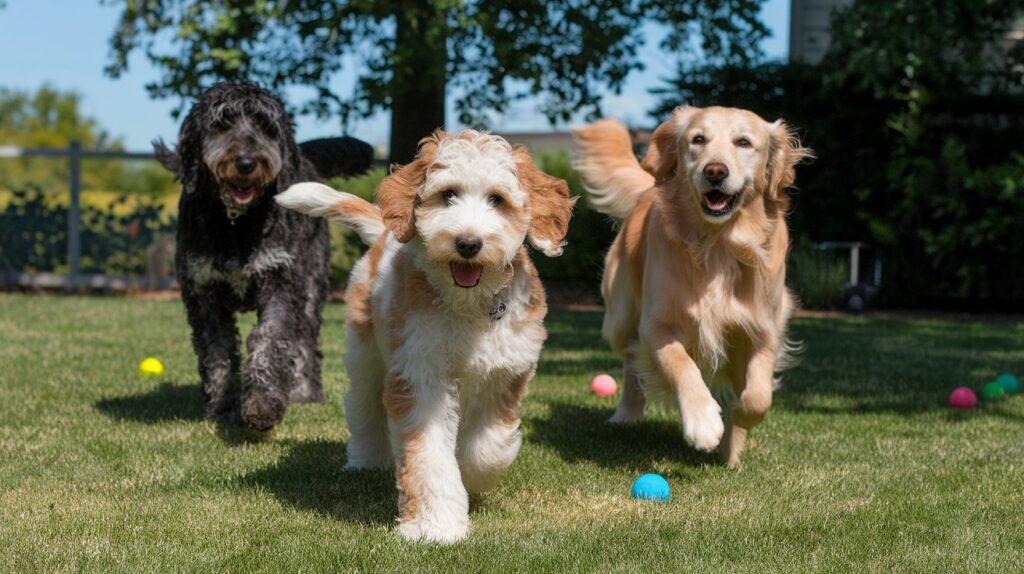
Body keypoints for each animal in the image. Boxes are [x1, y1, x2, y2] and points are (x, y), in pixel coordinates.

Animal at [155, 81, 372, 429]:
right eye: (222, 122)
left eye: (265, 125)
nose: (246, 163)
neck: (236, 224)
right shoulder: (203, 294)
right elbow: (217, 355)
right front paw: (222, 408)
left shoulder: (280, 284)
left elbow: (269, 341)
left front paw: (262, 404)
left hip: (310, 288)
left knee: (307, 343)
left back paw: (305, 391)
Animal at [276, 129, 573, 540]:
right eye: (448, 194)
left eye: (497, 199)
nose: (468, 243)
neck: (470, 306)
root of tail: (383, 235)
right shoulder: (421, 373)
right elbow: (430, 455)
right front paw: (435, 526)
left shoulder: (506, 372)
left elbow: (488, 446)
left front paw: (472, 476)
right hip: (365, 351)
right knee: (363, 405)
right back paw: (367, 459)